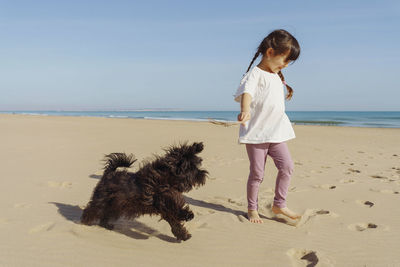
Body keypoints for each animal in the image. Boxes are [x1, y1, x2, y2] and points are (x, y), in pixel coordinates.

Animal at [80, 143, 208, 242]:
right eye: (193, 168)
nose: (203, 174)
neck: (168, 179)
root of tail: (109, 173)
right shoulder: (162, 199)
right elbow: (175, 208)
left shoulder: (165, 207)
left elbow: (175, 222)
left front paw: (184, 235)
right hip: (102, 200)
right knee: (92, 209)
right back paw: (85, 221)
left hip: (115, 206)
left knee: (105, 215)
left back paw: (106, 225)